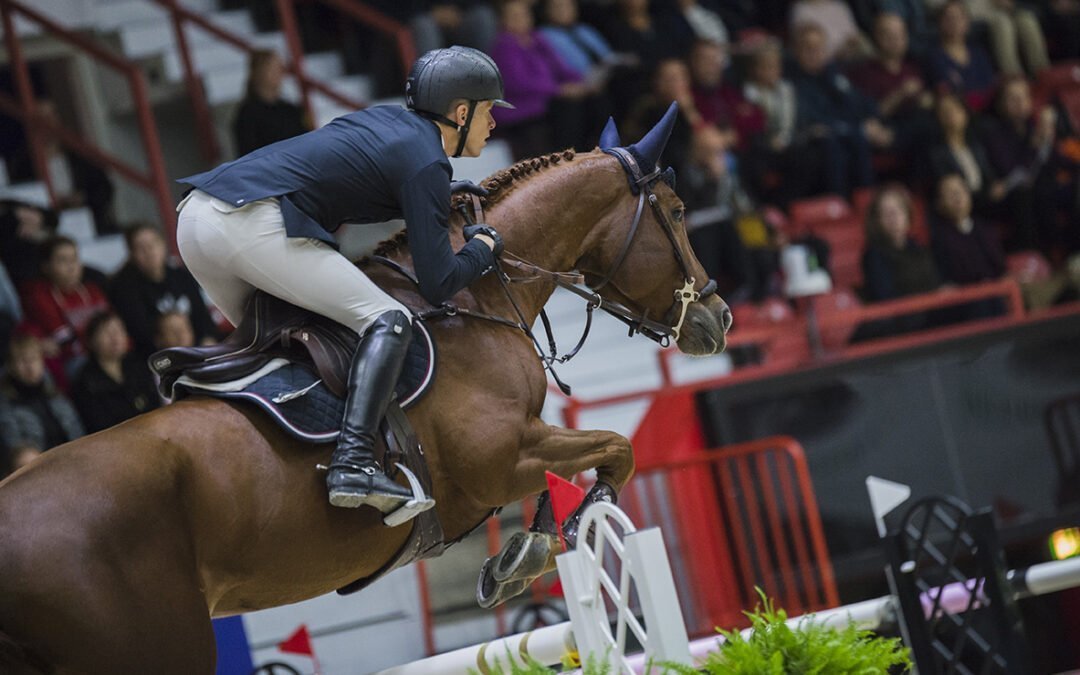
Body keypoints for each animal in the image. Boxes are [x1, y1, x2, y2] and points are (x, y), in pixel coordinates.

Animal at [0, 107, 730, 674]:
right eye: (675, 212)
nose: (718, 318)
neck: (476, 301)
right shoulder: (501, 459)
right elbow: (616, 449)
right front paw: (556, 539)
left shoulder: (515, 456)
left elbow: (594, 461)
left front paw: (526, 551)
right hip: (156, 643)